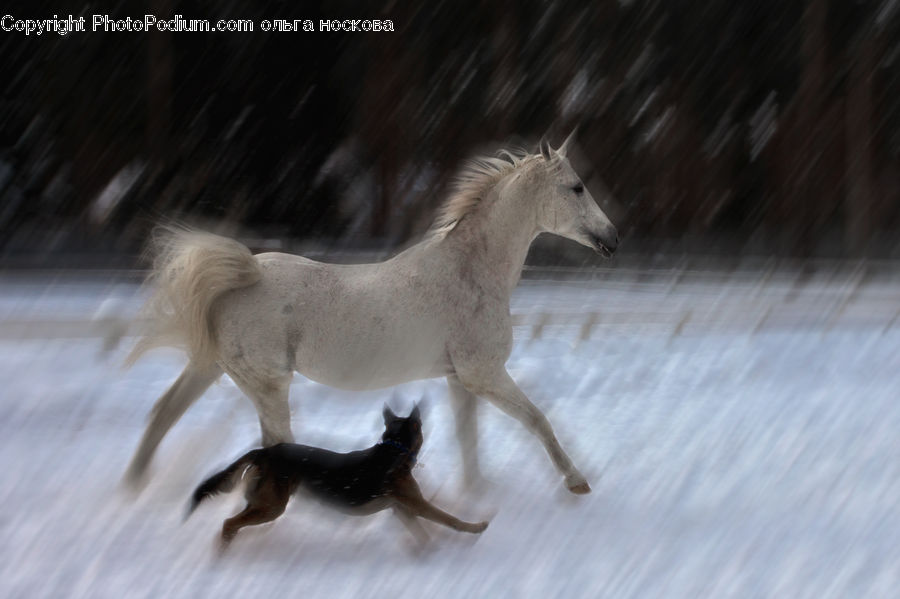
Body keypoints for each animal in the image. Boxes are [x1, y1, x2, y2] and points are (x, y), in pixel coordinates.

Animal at [124, 132, 618, 494]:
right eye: (577, 187)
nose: (613, 238)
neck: (470, 271)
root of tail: (243, 275)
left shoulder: (460, 379)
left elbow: (469, 439)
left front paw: (476, 493)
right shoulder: (485, 374)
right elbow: (538, 420)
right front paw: (577, 482)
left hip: (211, 367)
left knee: (163, 413)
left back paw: (133, 486)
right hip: (267, 384)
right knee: (273, 442)